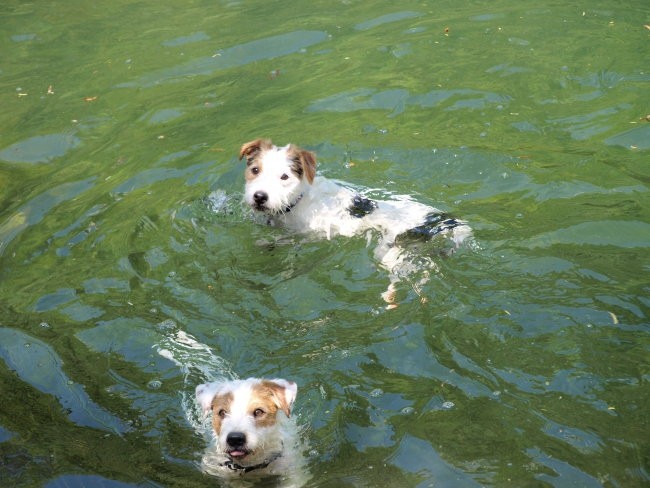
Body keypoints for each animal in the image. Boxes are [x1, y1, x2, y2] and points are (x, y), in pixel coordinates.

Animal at [238, 138, 470, 304]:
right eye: (255, 170)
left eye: (284, 177)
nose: (260, 197)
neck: (299, 200)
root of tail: (439, 221)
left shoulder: (314, 234)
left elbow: (287, 240)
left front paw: (266, 243)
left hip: (390, 253)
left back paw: (390, 297)